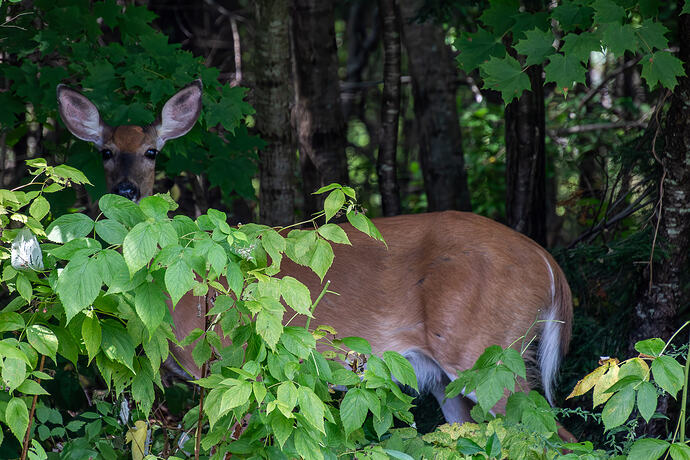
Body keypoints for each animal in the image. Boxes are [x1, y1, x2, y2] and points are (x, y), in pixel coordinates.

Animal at [56, 80, 573, 432]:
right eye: (105, 151)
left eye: (151, 151)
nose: (127, 189)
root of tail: (550, 267)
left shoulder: (230, 363)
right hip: (453, 380)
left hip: (486, 351)